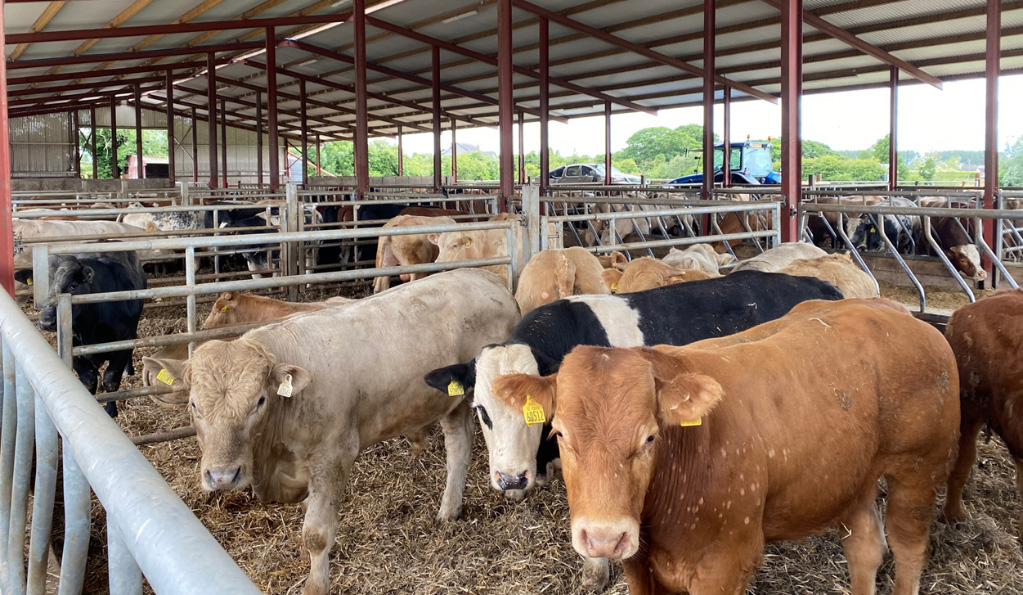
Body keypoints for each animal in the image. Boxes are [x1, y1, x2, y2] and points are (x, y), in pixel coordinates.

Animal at [37, 252, 146, 417]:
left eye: (73, 285)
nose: (47, 322)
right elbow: (89, 382)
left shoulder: (124, 342)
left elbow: (111, 379)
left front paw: (110, 411)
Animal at [146, 269, 519, 595]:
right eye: (193, 405)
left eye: (259, 401)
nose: (223, 476)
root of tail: (487, 278)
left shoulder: (334, 455)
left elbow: (316, 533)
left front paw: (316, 585)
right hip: (452, 403)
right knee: (458, 448)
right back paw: (447, 511)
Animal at [492, 299, 960, 595]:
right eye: (560, 433)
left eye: (650, 436)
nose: (604, 537)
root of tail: (894, 311)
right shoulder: (639, 565)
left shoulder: (728, 563)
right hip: (851, 477)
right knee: (864, 546)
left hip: (921, 470)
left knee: (908, 547)